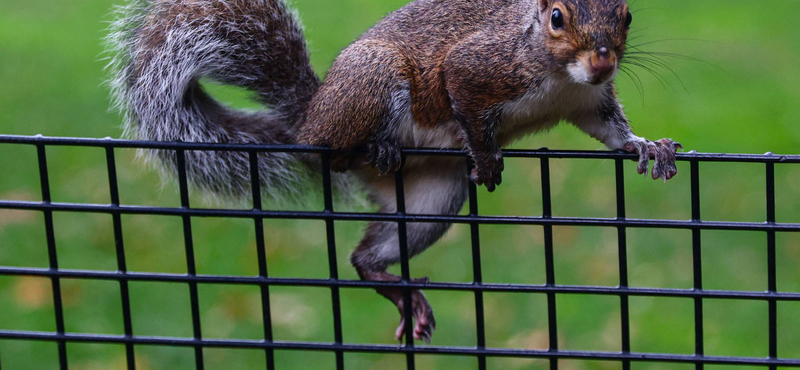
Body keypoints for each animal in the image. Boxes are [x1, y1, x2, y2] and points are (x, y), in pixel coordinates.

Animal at [106, 0, 680, 342]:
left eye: (627, 15)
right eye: (558, 16)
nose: (603, 60)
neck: (559, 76)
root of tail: (309, 119)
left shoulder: (589, 101)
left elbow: (611, 130)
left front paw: (646, 146)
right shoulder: (477, 68)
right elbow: (466, 103)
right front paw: (487, 154)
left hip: (432, 201)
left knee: (365, 257)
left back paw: (395, 286)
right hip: (372, 80)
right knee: (337, 153)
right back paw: (376, 147)